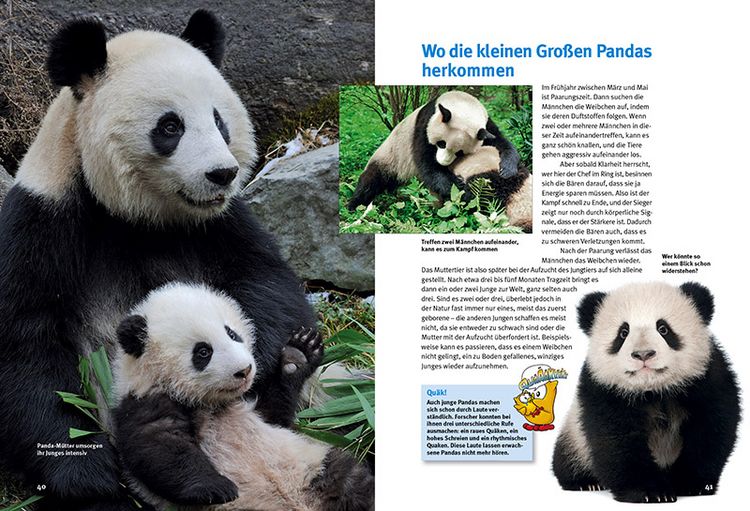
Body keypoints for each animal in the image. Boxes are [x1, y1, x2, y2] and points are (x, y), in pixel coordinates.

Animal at [0, 11, 317, 510]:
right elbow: (25, 342)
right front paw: (86, 475)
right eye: (171, 126)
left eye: (219, 120)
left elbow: (269, 283)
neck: (136, 214)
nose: (222, 173)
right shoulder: (44, 219)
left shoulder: (221, 222)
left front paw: (256, 360)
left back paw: (290, 369)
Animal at [112, 282, 374, 511]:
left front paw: (298, 355)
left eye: (232, 334)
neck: (211, 403)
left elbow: (276, 414)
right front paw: (216, 487)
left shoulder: (253, 406)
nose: (245, 370)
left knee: (354, 484)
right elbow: (160, 446)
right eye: (203, 352)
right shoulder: (145, 400)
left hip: (316, 468)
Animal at [347, 90, 521, 210]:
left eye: (460, 152)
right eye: (441, 143)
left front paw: (507, 169)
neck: (462, 104)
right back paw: (353, 206)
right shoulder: (424, 126)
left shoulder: (485, 124)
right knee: (370, 181)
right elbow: (428, 166)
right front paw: (463, 190)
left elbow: (499, 140)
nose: (443, 162)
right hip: (389, 157)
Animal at [552, 282, 740, 503]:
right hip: (575, 438)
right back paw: (585, 482)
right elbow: (617, 440)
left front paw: (692, 484)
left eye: (663, 328)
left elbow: (710, 431)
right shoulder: (604, 390)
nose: (643, 354)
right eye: (623, 332)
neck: (654, 390)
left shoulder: (706, 379)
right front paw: (650, 492)